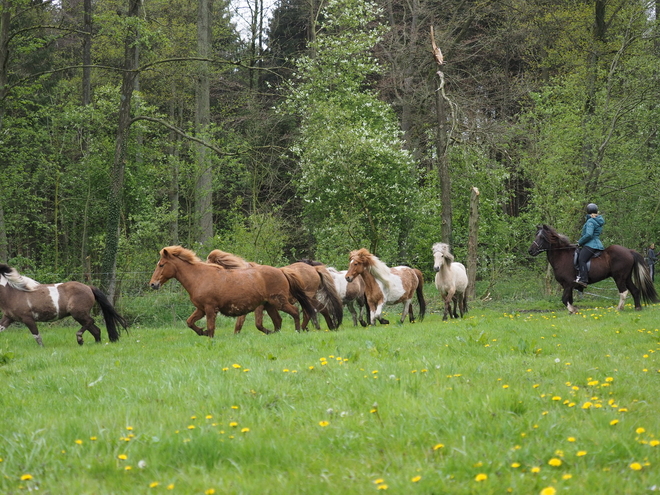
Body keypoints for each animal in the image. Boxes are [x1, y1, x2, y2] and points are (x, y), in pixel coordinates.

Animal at [150, 247, 318, 338]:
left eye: (161, 264)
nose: (153, 284)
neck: (199, 277)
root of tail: (281, 271)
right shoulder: (201, 309)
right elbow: (190, 322)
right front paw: (202, 332)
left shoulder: (210, 309)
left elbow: (211, 328)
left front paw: (208, 337)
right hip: (269, 305)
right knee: (278, 321)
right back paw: (274, 334)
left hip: (279, 302)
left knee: (295, 312)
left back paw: (297, 331)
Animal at [528, 226, 656, 314]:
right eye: (536, 236)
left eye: (542, 237)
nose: (530, 251)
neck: (562, 255)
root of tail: (629, 251)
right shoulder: (567, 286)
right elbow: (569, 299)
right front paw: (572, 311)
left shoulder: (568, 284)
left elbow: (564, 299)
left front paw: (573, 310)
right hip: (626, 277)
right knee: (635, 290)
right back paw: (637, 308)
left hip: (619, 277)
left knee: (623, 292)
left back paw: (619, 308)